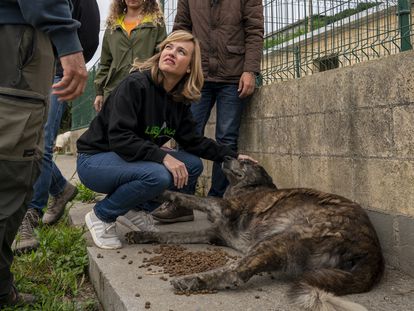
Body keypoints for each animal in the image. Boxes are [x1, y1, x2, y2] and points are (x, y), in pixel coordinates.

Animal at [124, 158, 384, 311]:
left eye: (245, 163)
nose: (226, 156)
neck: (246, 187)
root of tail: (373, 252)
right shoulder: (212, 234)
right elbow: (171, 235)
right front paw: (141, 235)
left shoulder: (223, 207)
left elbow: (188, 197)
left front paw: (159, 191)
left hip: (282, 239)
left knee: (236, 272)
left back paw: (193, 280)